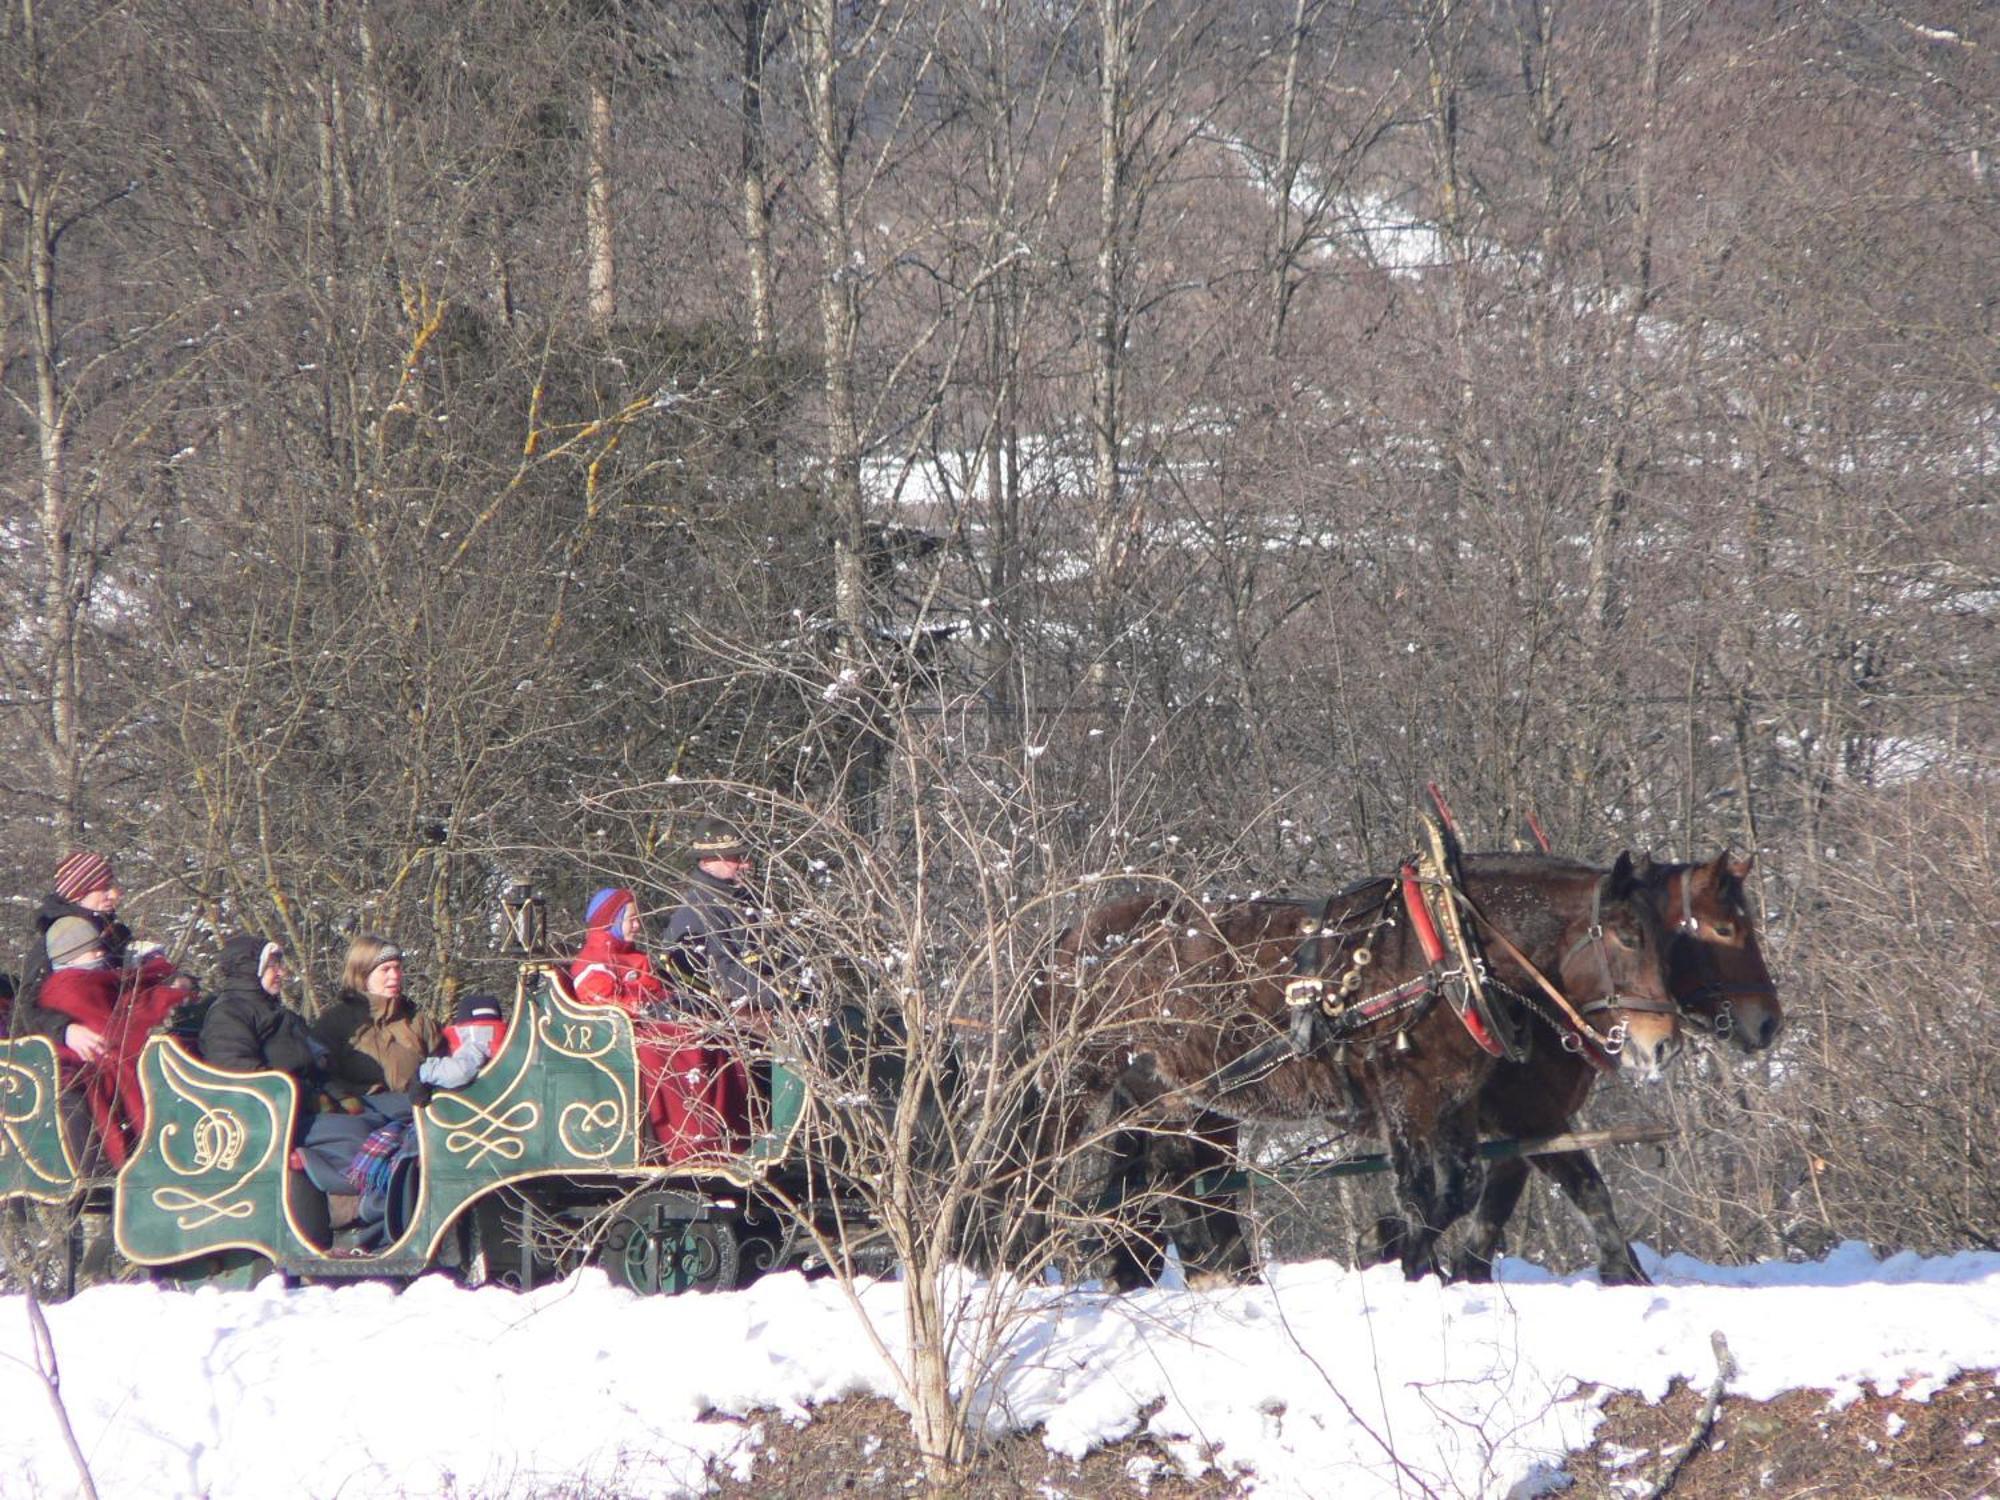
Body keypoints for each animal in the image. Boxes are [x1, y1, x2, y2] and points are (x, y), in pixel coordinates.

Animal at [1024, 852, 1680, 1288]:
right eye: (1627, 936)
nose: (1663, 1044)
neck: (1447, 954)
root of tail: (1074, 937)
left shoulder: (1458, 1098)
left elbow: (1465, 1186)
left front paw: (1406, 1255)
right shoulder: (1407, 1093)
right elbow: (1421, 1191)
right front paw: (1405, 1261)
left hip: (1172, 1093)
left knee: (1165, 1179)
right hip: (1102, 1081)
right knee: (1102, 1170)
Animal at [1448, 852, 1792, 1288]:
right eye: (1724, 929)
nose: (1768, 1022)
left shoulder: (1525, 1134)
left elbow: (1484, 1229)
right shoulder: (1527, 1117)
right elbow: (1590, 1191)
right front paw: (1621, 1273)